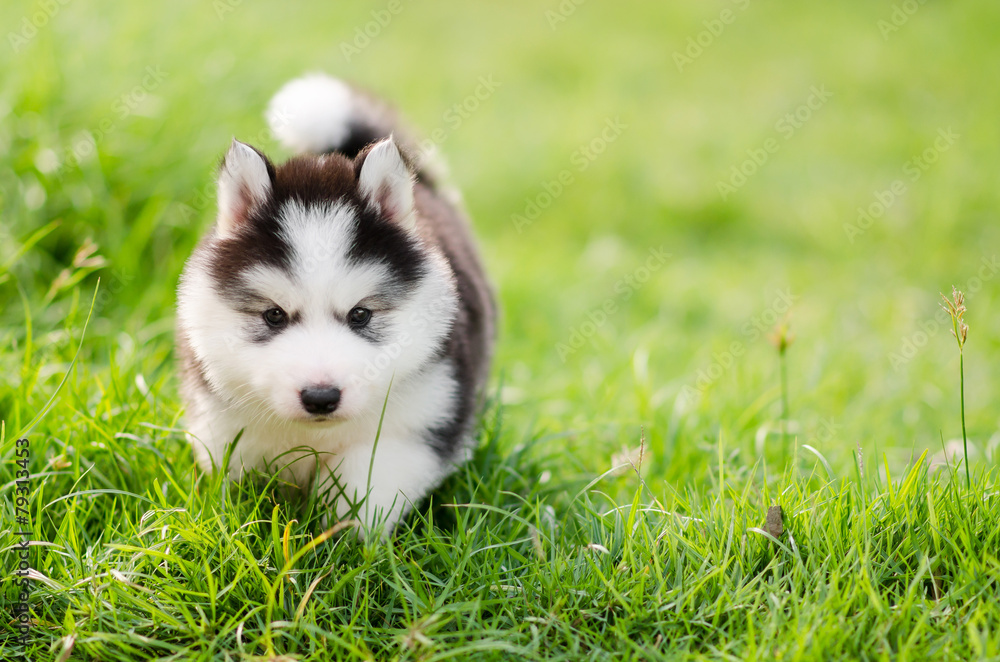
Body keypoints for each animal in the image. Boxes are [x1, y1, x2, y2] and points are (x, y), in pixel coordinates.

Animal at [179, 74, 496, 540]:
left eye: (360, 315)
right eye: (274, 315)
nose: (321, 397)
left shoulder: (420, 421)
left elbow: (362, 484)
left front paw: (343, 541)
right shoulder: (224, 425)